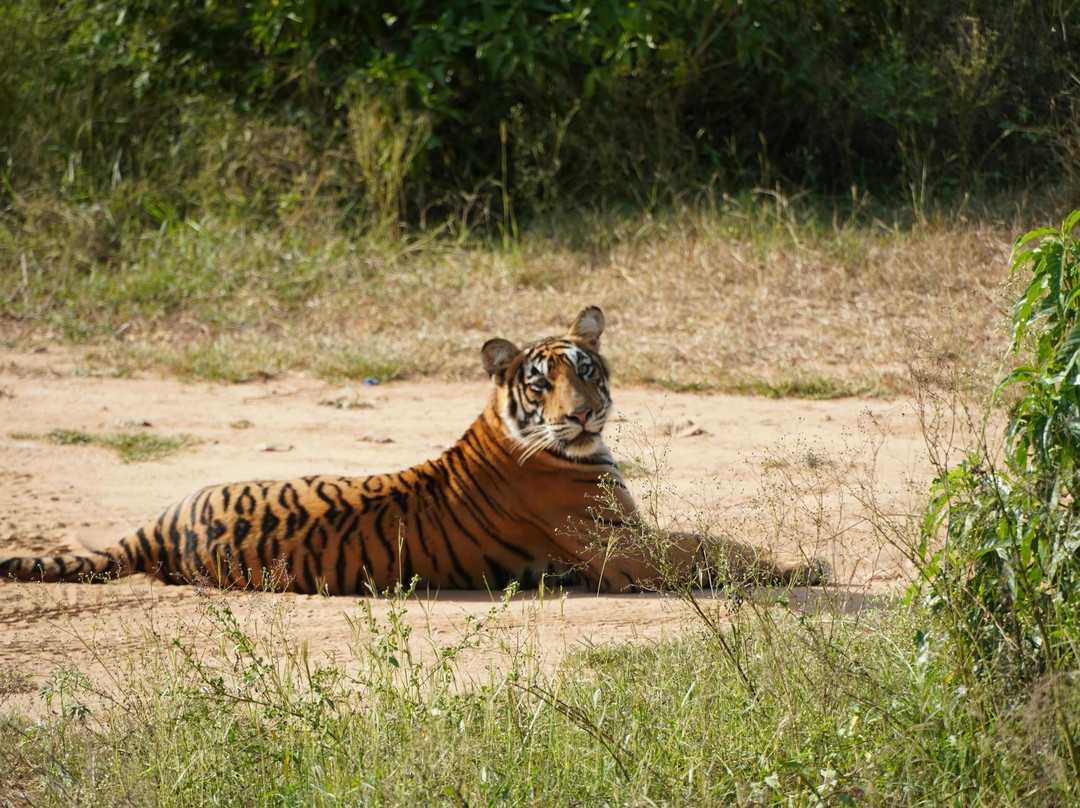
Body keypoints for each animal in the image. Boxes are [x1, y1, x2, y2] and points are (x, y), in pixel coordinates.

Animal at [0, 306, 826, 594]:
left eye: (587, 370)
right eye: (544, 382)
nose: (584, 414)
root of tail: (157, 528)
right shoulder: (622, 549)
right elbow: (714, 548)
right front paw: (800, 568)